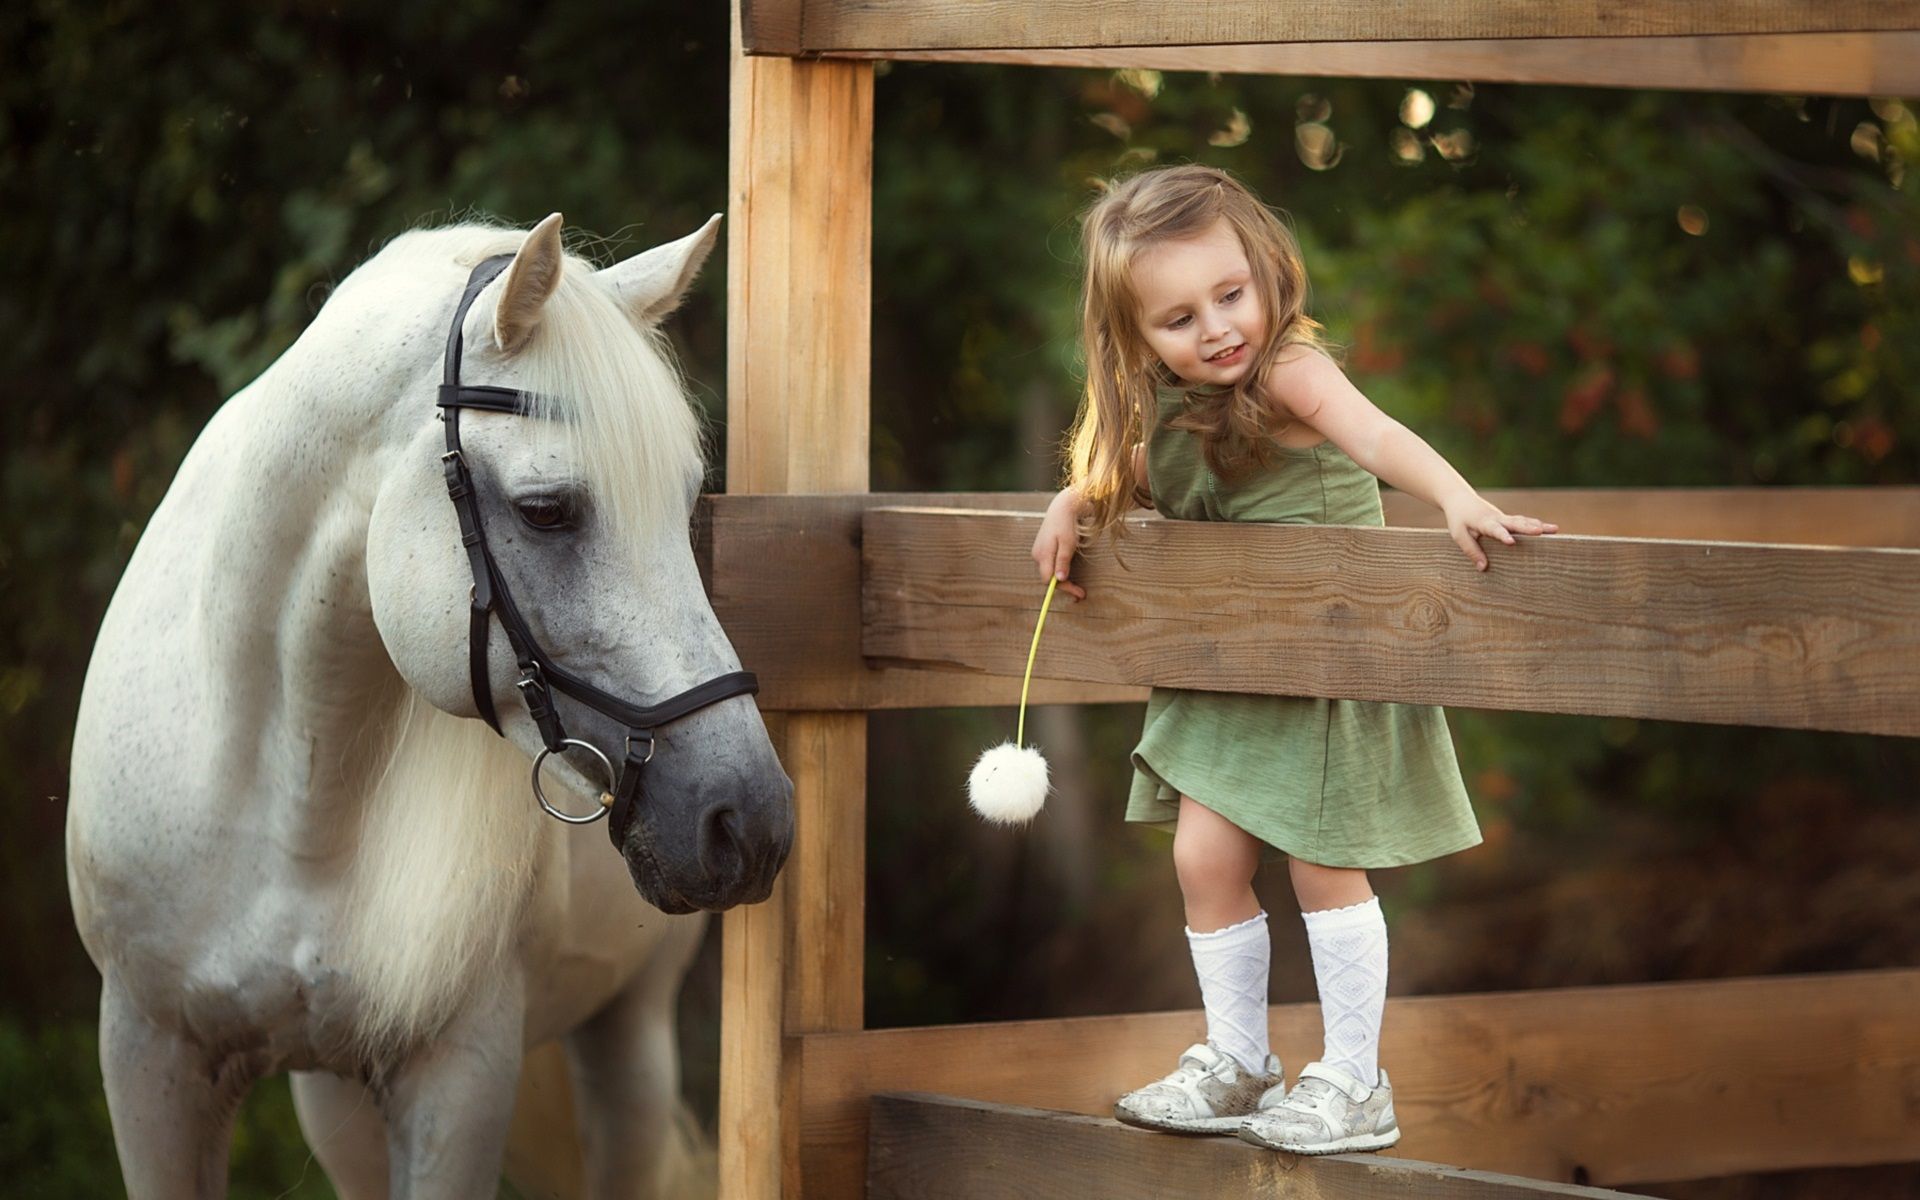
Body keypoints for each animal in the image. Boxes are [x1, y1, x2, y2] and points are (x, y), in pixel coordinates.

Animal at [65, 212, 793, 1198]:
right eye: (547, 511)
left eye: (685, 509)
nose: (750, 820)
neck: (289, 798)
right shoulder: (148, 1063)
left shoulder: (459, 1077)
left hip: (629, 1034)